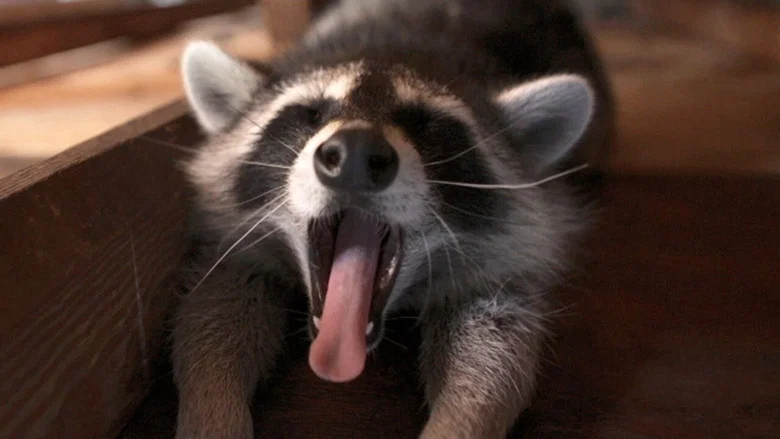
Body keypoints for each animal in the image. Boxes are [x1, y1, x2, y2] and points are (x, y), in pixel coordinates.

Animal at [172, 0, 614, 438]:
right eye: (310, 115)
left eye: (424, 123)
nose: (354, 153)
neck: (394, 47)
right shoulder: (234, 245)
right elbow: (216, 303)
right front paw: (214, 409)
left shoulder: (510, 255)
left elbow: (499, 341)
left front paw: (457, 421)